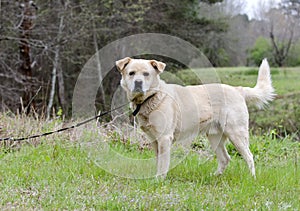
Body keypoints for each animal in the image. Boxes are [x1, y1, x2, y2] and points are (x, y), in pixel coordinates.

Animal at [116, 57, 274, 178]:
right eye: (131, 73)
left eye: (146, 74)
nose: (138, 82)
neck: (152, 97)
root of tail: (237, 89)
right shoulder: (154, 140)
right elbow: (158, 161)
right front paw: (156, 177)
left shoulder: (165, 138)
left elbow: (163, 163)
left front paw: (159, 180)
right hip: (215, 137)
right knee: (225, 158)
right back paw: (214, 177)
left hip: (237, 134)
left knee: (249, 156)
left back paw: (251, 179)